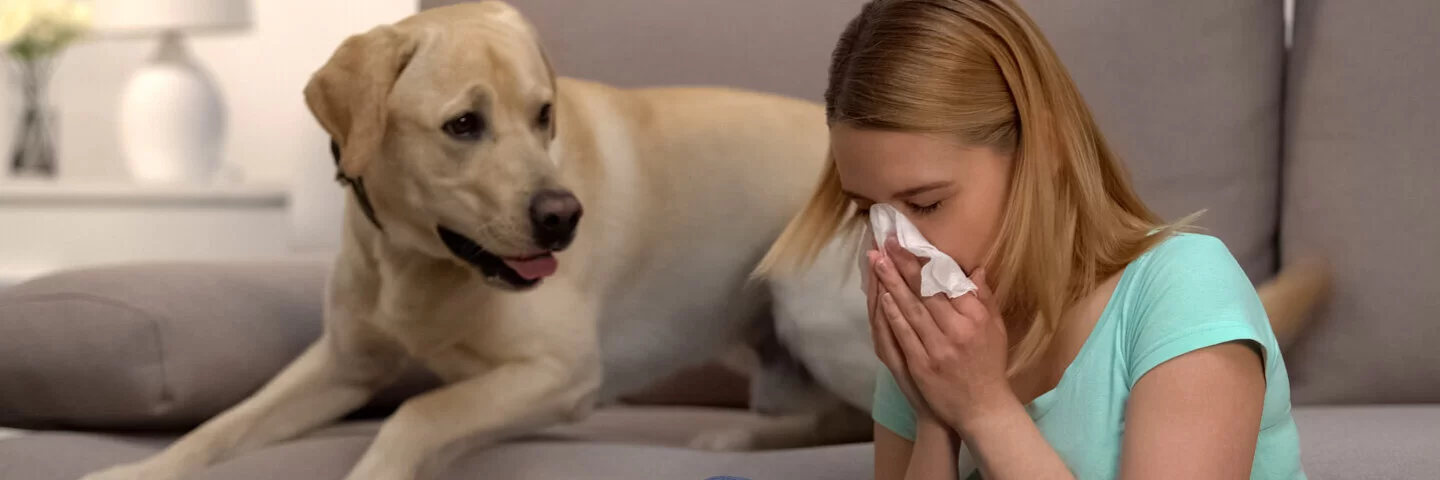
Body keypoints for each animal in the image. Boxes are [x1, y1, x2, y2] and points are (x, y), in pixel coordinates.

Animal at [81, 1, 840, 475]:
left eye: (543, 115)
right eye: (463, 125)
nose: (565, 217)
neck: (416, 261)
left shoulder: (559, 372)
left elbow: (419, 412)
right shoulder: (341, 364)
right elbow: (223, 425)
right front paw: (138, 471)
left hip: (805, 311)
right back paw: (740, 435)